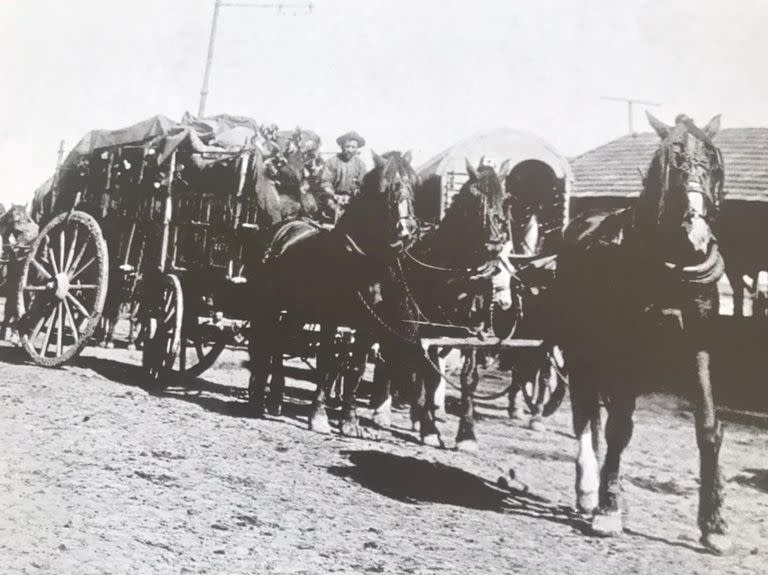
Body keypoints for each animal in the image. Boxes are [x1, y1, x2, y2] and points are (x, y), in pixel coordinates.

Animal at [248, 152, 420, 436]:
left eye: (414, 187)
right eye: (386, 189)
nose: (406, 231)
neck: (361, 261)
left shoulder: (367, 325)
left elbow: (356, 368)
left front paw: (350, 420)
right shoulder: (330, 319)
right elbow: (326, 361)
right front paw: (318, 417)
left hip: (296, 310)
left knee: (281, 341)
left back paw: (274, 398)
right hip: (269, 305)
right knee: (268, 342)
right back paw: (258, 398)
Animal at [556, 112, 728, 552]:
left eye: (712, 161)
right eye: (672, 162)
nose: (697, 234)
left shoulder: (699, 347)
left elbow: (708, 428)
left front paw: (714, 525)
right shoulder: (626, 351)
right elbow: (619, 428)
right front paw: (609, 510)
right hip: (578, 349)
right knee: (584, 412)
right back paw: (588, 489)